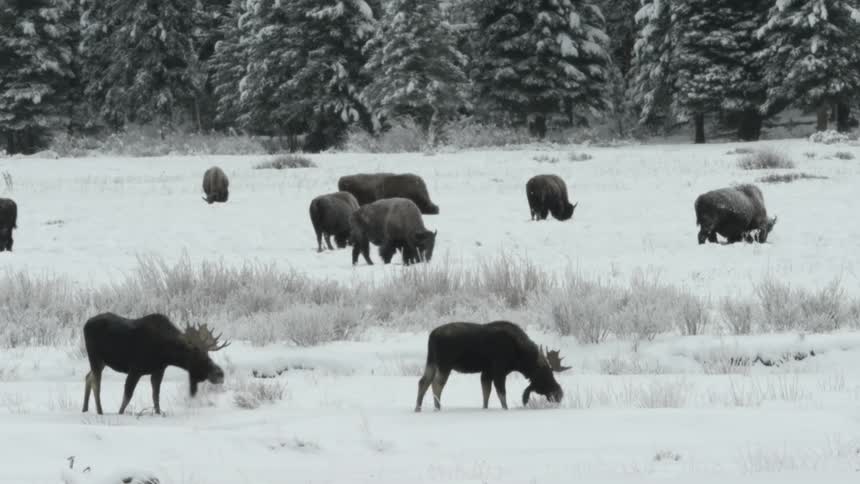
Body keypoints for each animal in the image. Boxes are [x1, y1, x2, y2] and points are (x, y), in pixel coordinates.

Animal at [81, 312, 230, 415]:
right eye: (198, 355)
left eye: (208, 354)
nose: (220, 374)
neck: (165, 352)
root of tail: (85, 324)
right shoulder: (135, 369)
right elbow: (127, 396)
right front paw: (120, 413)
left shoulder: (158, 370)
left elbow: (156, 396)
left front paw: (158, 413)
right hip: (95, 357)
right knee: (96, 383)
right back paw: (99, 411)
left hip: (102, 362)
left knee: (88, 377)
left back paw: (85, 409)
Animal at [415, 320, 572, 411]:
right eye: (546, 375)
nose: (559, 394)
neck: (520, 357)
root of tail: (432, 336)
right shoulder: (499, 369)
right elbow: (501, 393)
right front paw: (505, 409)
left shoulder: (486, 372)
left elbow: (486, 394)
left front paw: (485, 409)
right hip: (445, 364)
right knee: (436, 383)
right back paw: (438, 408)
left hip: (431, 361)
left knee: (423, 381)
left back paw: (418, 408)